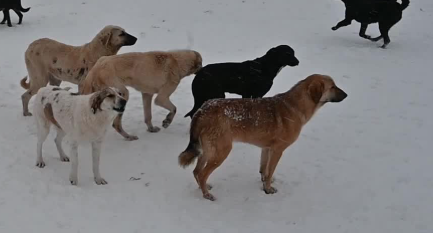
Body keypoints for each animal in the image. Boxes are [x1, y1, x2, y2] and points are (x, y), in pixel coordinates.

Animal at [178, 73, 348, 200]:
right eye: (332, 87)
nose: (347, 95)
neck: (296, 106)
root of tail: (202, 110)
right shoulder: (277, 150)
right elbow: (270, 170)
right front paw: (268, 189)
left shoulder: (266, 149)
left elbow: (264, 170)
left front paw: (265, 183)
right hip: (221, 151)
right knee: (202, 173)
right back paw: (206, 194)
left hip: (208, 150)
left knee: (196, 171)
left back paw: (204, 187)